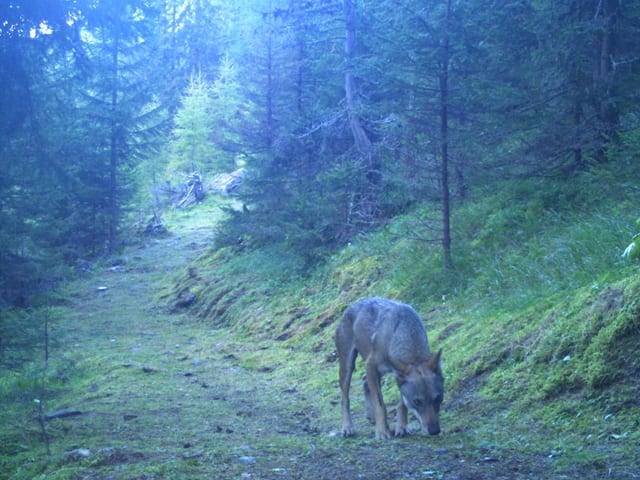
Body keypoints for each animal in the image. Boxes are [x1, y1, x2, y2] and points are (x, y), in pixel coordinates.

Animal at [336, 298, 444, 440]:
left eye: (438, 398)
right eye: (417, 402)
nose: (434, 431)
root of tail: (350, 307)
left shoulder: (397, 376)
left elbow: (401, 404)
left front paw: (402, 427)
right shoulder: (371, 365)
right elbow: (380, 405)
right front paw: (382, 432)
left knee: (364, 381)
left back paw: (371, 416)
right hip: (348, 368)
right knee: (344, 398)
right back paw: (347, 427)